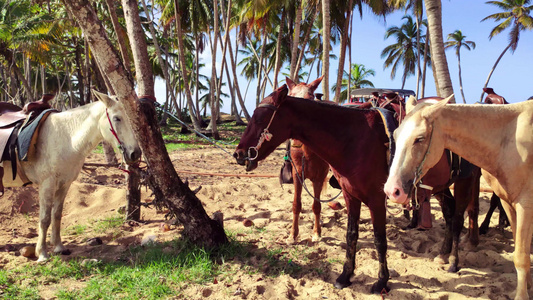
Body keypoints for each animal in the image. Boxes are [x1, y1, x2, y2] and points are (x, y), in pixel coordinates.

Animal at [3, 90, 141, 262]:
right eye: (117, 118)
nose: (135, 153)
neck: (66, 138)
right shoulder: (47, 184)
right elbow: (44, 219)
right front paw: (42, 253)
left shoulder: (65, 183)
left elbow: (57, 215)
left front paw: (59, 247)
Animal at [284, 76, 338, 243]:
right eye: (290, 98)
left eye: (310, 99)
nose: (296, 137)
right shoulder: (297, 176)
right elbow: (296, 204)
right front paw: (292, 235)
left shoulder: (319, 178)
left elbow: (316, 206)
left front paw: (316, 233)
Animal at [384, 96, 532, 300]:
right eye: (396, 135)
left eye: (419, 138)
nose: (392, 190)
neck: (509, 140)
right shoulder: (509, 203)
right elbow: (521, 250)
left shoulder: (525, 204)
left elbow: (521, 256)